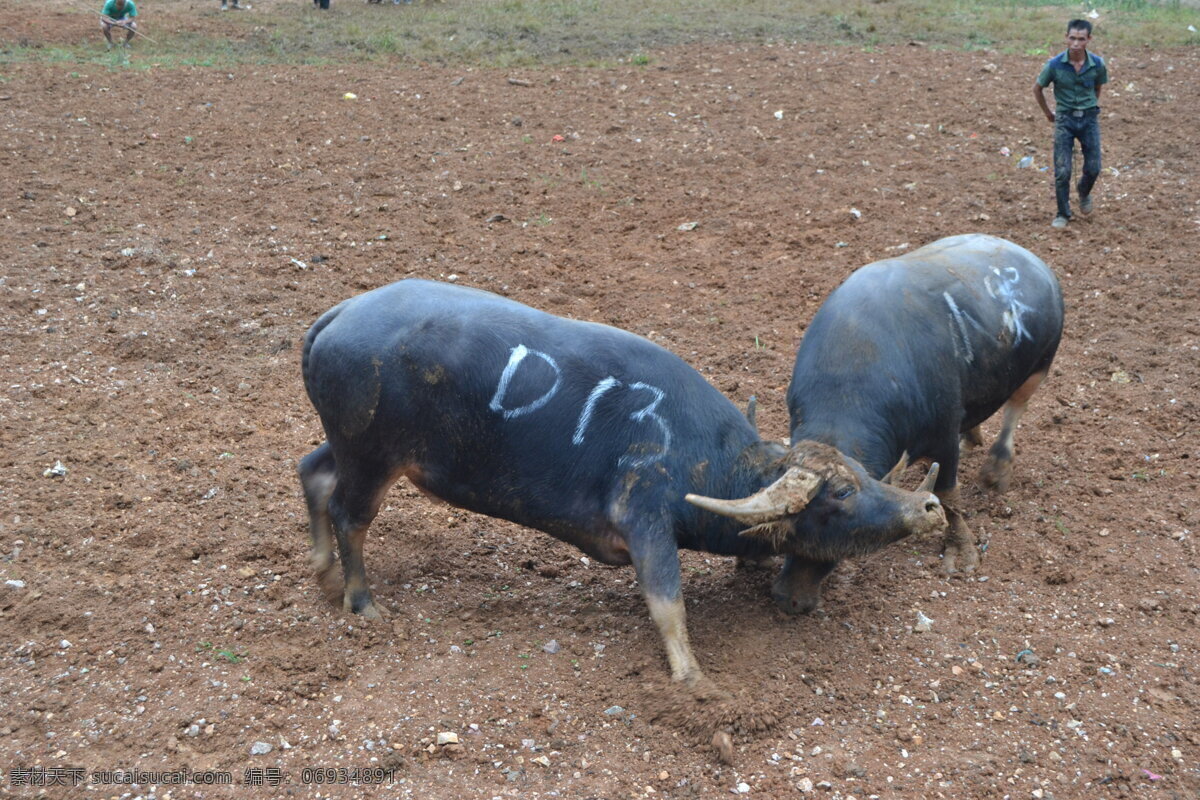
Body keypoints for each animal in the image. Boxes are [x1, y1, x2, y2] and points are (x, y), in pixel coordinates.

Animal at [297, 278, 945, 686]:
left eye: (860, 476)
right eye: (842, 492)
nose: (928, 506)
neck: (701, 455)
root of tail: (337, 317)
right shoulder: (647, 519)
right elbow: (667, 603)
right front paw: (692, 679)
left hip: (350, 448)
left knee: (312, 472)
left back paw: (324, 572)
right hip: (372, 458)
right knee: (350, 514)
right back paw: (362, 601)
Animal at [782, 235, 1065, 618]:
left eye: (846, 535)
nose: (790, 598)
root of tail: (1037, 264)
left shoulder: (941, 436)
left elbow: (947, 495)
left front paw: (961, 552)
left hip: (1040, 366)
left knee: (1015, 409)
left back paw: (997, 468)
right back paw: (971, 438)